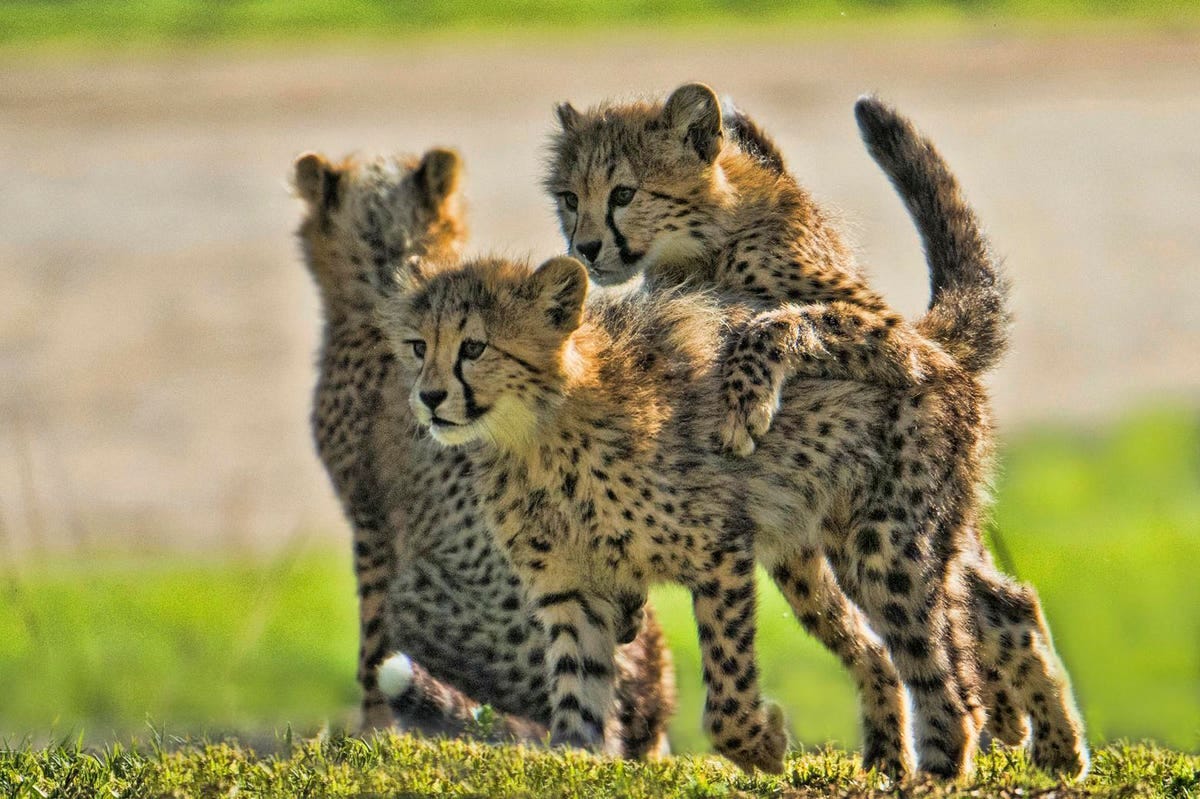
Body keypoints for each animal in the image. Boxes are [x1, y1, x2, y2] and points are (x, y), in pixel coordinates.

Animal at [294, 147, 673, 756]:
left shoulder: (371, 524)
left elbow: (371, 647)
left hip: (419, 590)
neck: (381, 268)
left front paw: (372, 734)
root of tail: (639, 716)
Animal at [541, 84, 1086, 779]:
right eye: (568, 197)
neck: (703, 244)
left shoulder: (888, 333)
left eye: (623, 193)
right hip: (823, 546)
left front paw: (744, 401)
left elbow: (781, 319)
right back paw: (1022, 745)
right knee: (978, 609)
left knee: (966, 611)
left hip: (886, 528)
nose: (584, 248)